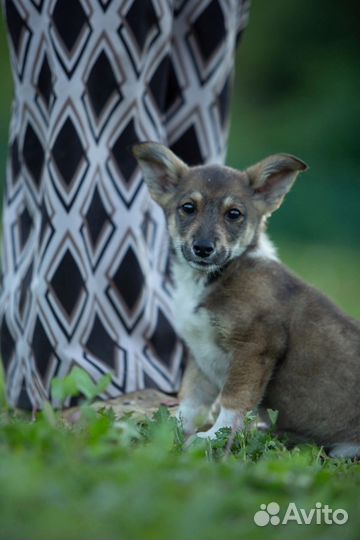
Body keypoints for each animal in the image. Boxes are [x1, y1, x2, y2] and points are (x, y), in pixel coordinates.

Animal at [133, 142, 360, 456]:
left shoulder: (256, 346)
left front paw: (211, 438)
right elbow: (191, 401)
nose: (203, 248)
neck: (212, 279)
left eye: (234, 214)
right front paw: (168, 432)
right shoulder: (200, 353)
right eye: (188, 208)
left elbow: (233, 400)